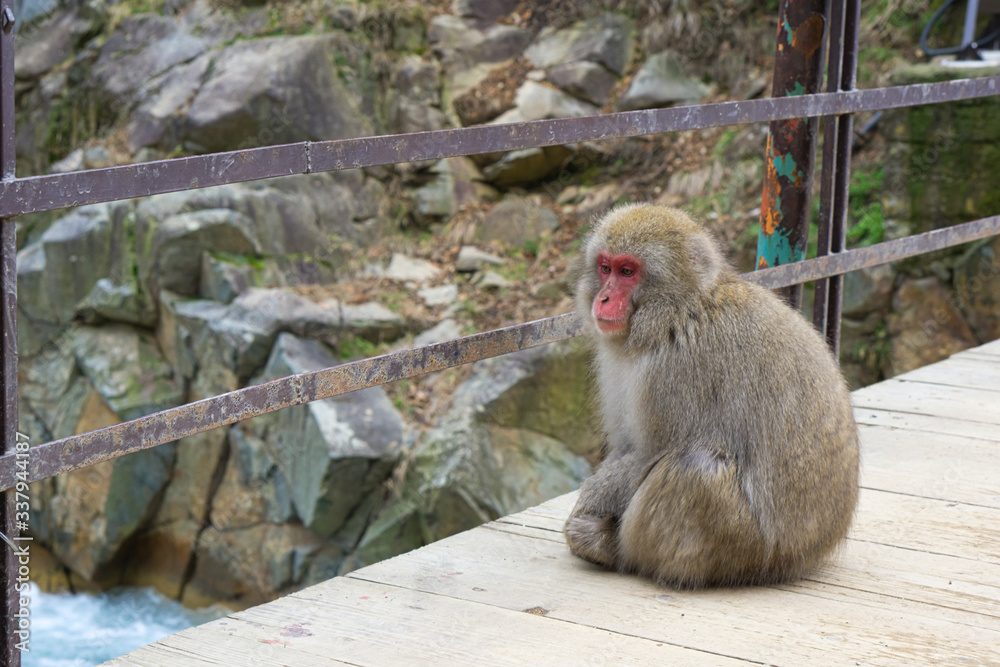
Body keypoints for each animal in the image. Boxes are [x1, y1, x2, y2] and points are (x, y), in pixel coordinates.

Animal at [564, 205, 860, 588]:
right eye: (605, 267)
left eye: (627, 271)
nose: (603, 299)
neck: (679, 311)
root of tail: (809, 555)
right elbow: (627, 448)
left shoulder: (675, 369)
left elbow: (650, 453)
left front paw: (590, 497)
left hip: (745, 550)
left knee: (694, 467)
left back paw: (613, 551)